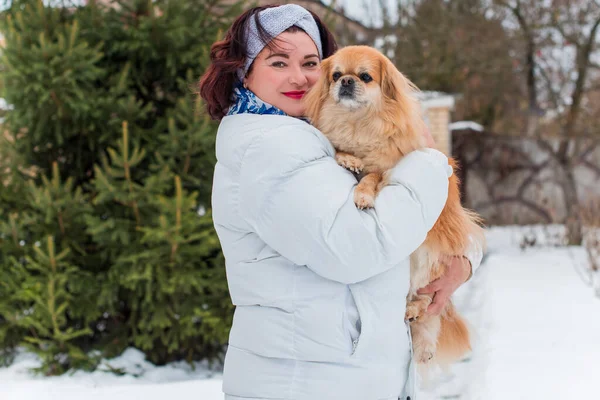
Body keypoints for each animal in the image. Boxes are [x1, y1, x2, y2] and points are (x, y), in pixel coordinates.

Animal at [304, 46, 488, 368]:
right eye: (336, 75)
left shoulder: (385, 167)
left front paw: (363, 194)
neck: (358, 122)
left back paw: (417, 321)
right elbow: (340, 150)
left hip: (427, 258)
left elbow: (372, 176)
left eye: (365, 77)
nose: (347, 81)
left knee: (429, 301)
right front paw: (348, 159)